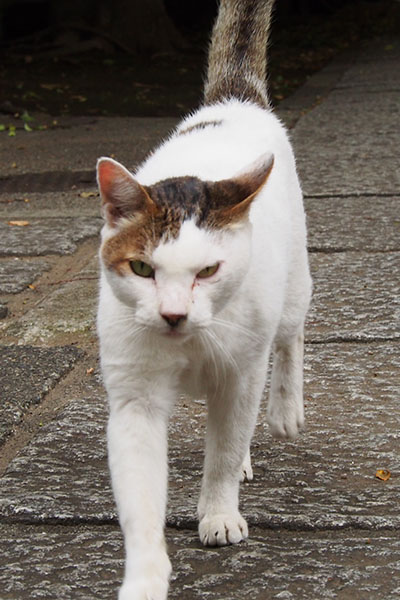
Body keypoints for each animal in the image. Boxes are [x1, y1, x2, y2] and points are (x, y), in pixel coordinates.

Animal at [95, 1, 310, 600]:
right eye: (143, 269)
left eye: (208, 271)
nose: (173, 315)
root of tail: (232, 100)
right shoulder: (135, 399)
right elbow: (142, 499)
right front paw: (145, 577)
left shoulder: (239, 372)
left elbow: (224, 449)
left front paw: (218, 514)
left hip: (291, 291)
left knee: (289, 341)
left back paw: (284, 411)